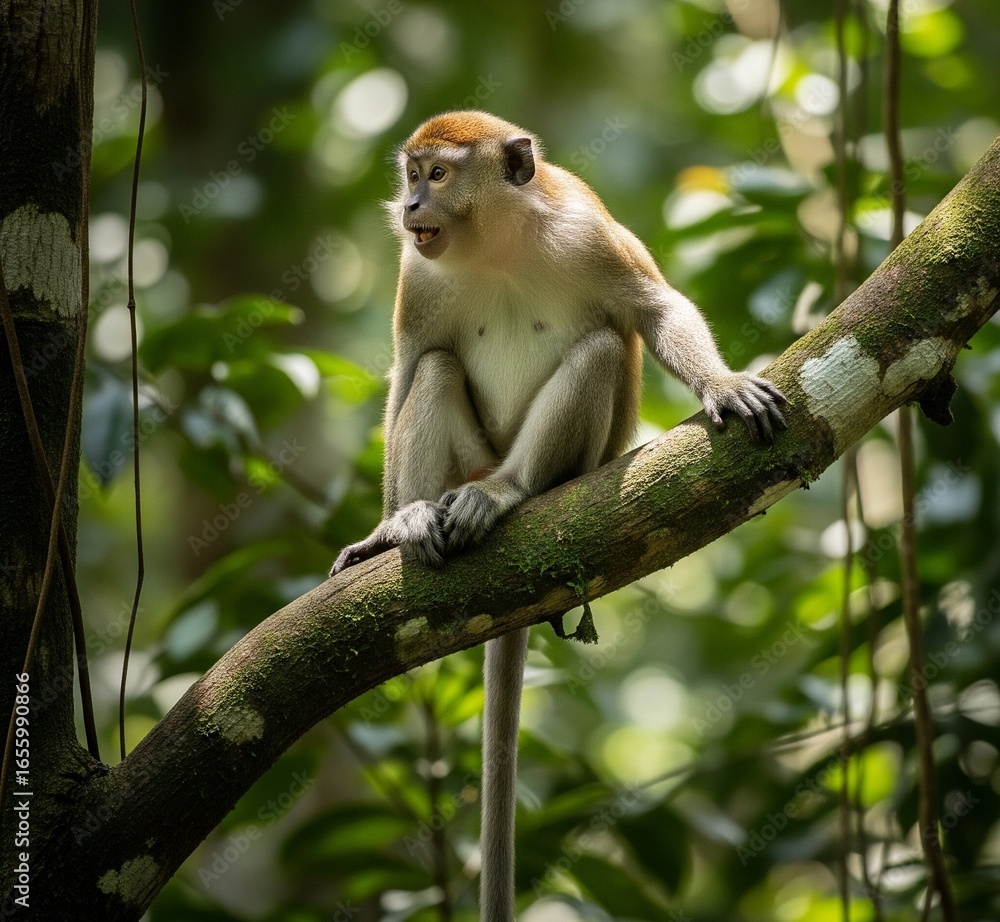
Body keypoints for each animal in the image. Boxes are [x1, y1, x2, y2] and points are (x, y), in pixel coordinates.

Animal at [331, 111, 786, 920]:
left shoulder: (588, 232)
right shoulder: (417, 277)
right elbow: (412, 364)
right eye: (410, 175)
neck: (498, 241)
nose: (411, 207)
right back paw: (416, 518)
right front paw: (381, 529)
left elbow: (652, 310)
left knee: (601, 347)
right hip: (468, 456)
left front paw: (723, 383)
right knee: (439, 368)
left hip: (567, 464)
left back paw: (509, 493)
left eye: (437, 174)